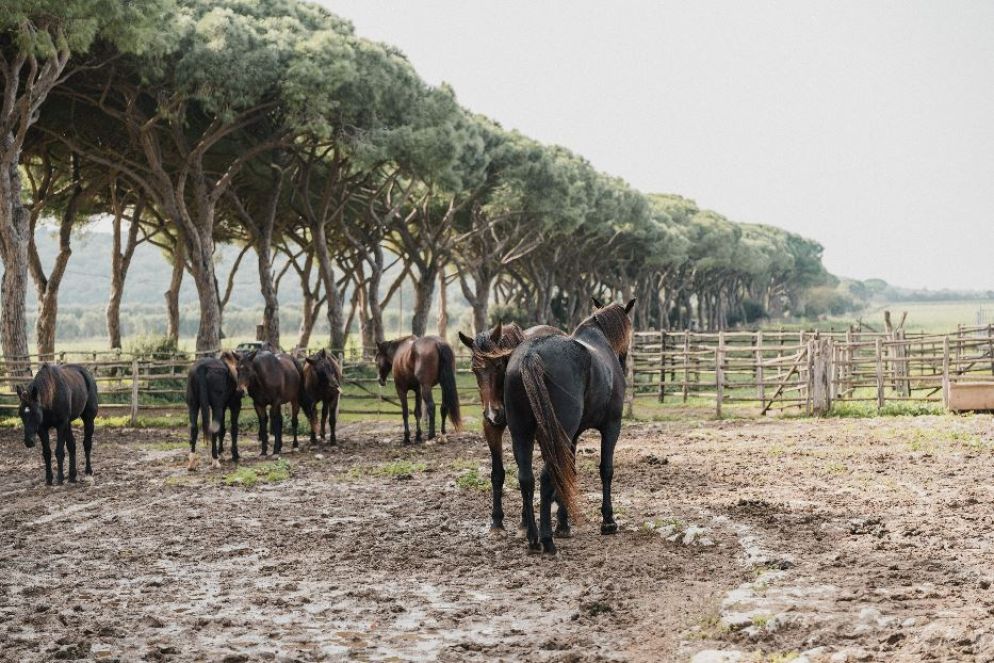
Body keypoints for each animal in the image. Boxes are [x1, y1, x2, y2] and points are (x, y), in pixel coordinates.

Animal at [458, 322, 567, 532]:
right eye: (474, 370)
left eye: (499, 365)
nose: (493, 413)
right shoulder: (492, 428)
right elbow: (498, 473)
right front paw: (497, 521)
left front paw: (525, 520)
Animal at [504, 298, 635, 554]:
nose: (624, 361)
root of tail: (530, 355)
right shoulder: (612, 426)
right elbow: (606, 469)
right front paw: (608, 521)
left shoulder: (572, 436)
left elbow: (569, 471)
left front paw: (563, 525)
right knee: (547, 476)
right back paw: (546, 540)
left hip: (522, 433)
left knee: (527, 478)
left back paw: (533, 538)